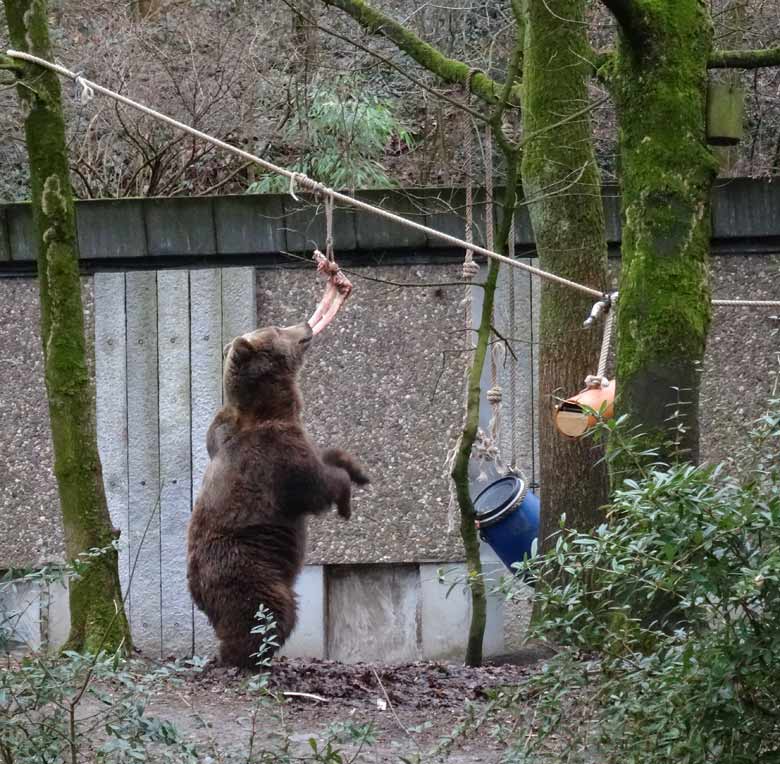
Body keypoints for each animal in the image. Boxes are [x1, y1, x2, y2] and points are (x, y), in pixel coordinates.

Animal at [187, 322, 368, 668]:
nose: (306, 324)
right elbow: (316, 486)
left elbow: (326, 457)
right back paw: (250, 658)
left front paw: (359, 470)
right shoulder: (276, 459)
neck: (271, 409)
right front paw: (345, 503)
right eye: (277, 327)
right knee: (269, 614)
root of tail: (197, 592)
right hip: (250, 568)